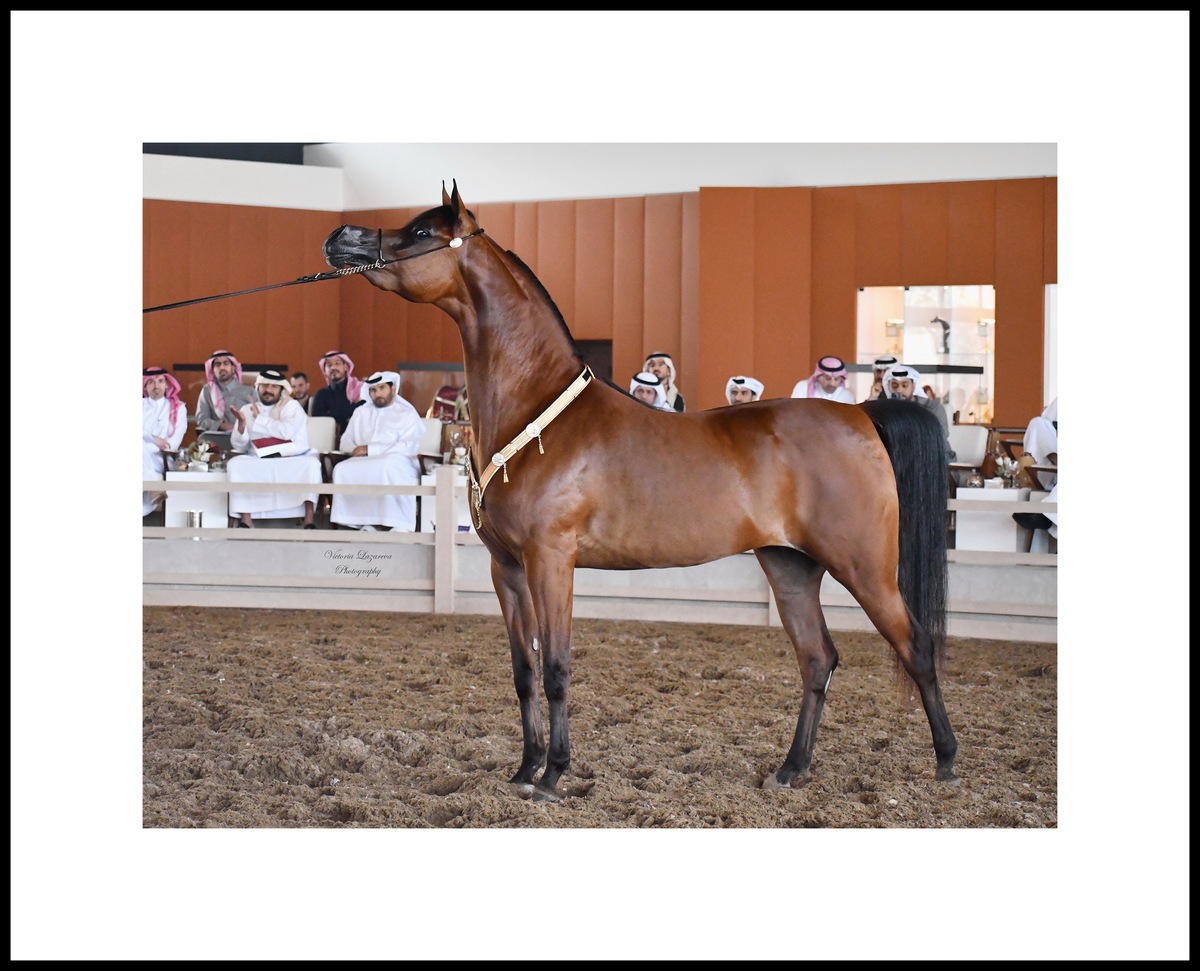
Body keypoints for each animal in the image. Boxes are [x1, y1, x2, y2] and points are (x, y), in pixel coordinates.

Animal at [322, 182, 957, 802]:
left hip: (865, 567)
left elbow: (556, 668)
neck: (535, 414)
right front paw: (524, 769)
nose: (341, 237)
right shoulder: (507, 567)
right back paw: (791, 768)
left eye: (421, 232)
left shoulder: (552, 560)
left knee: (916, 649)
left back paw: (947, 762)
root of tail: (862, 415)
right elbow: (524, 671)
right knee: (817, 658)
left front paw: (553, 776)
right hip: (790, 565)